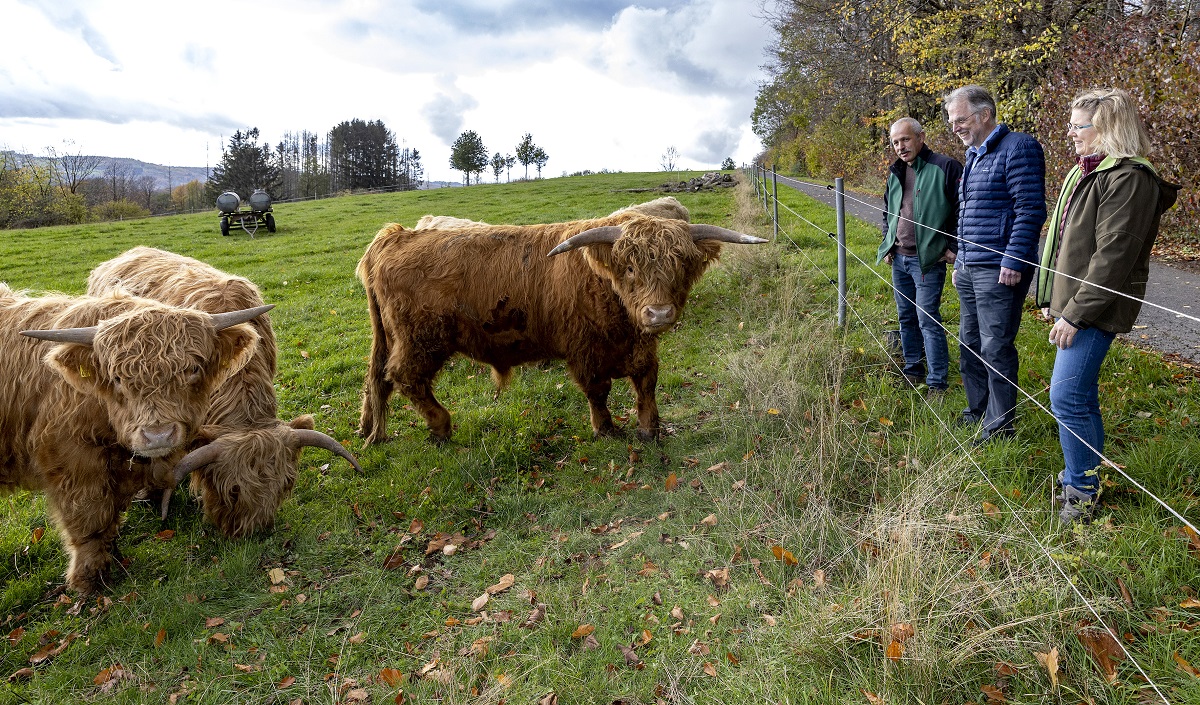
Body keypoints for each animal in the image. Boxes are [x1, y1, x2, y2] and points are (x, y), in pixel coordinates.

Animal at [0, 284, 267, 592]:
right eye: (117, 378)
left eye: (192, 369)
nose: (158, 435)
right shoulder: (73, 461)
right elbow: (90, 518)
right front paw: (88, 580)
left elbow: (110, 516)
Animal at [357, 197, 768, 443]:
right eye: (630, 267)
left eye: (680, 266)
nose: (659, 313)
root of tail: (396, 235)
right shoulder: (583, 348)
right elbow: (598, 390)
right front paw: (606, 429)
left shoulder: (641, 344)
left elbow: (647, 381)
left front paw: (649, 427)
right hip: (421, 338)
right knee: (405, 376)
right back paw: (441, 425)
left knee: (378, 378)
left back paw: (371, 431)